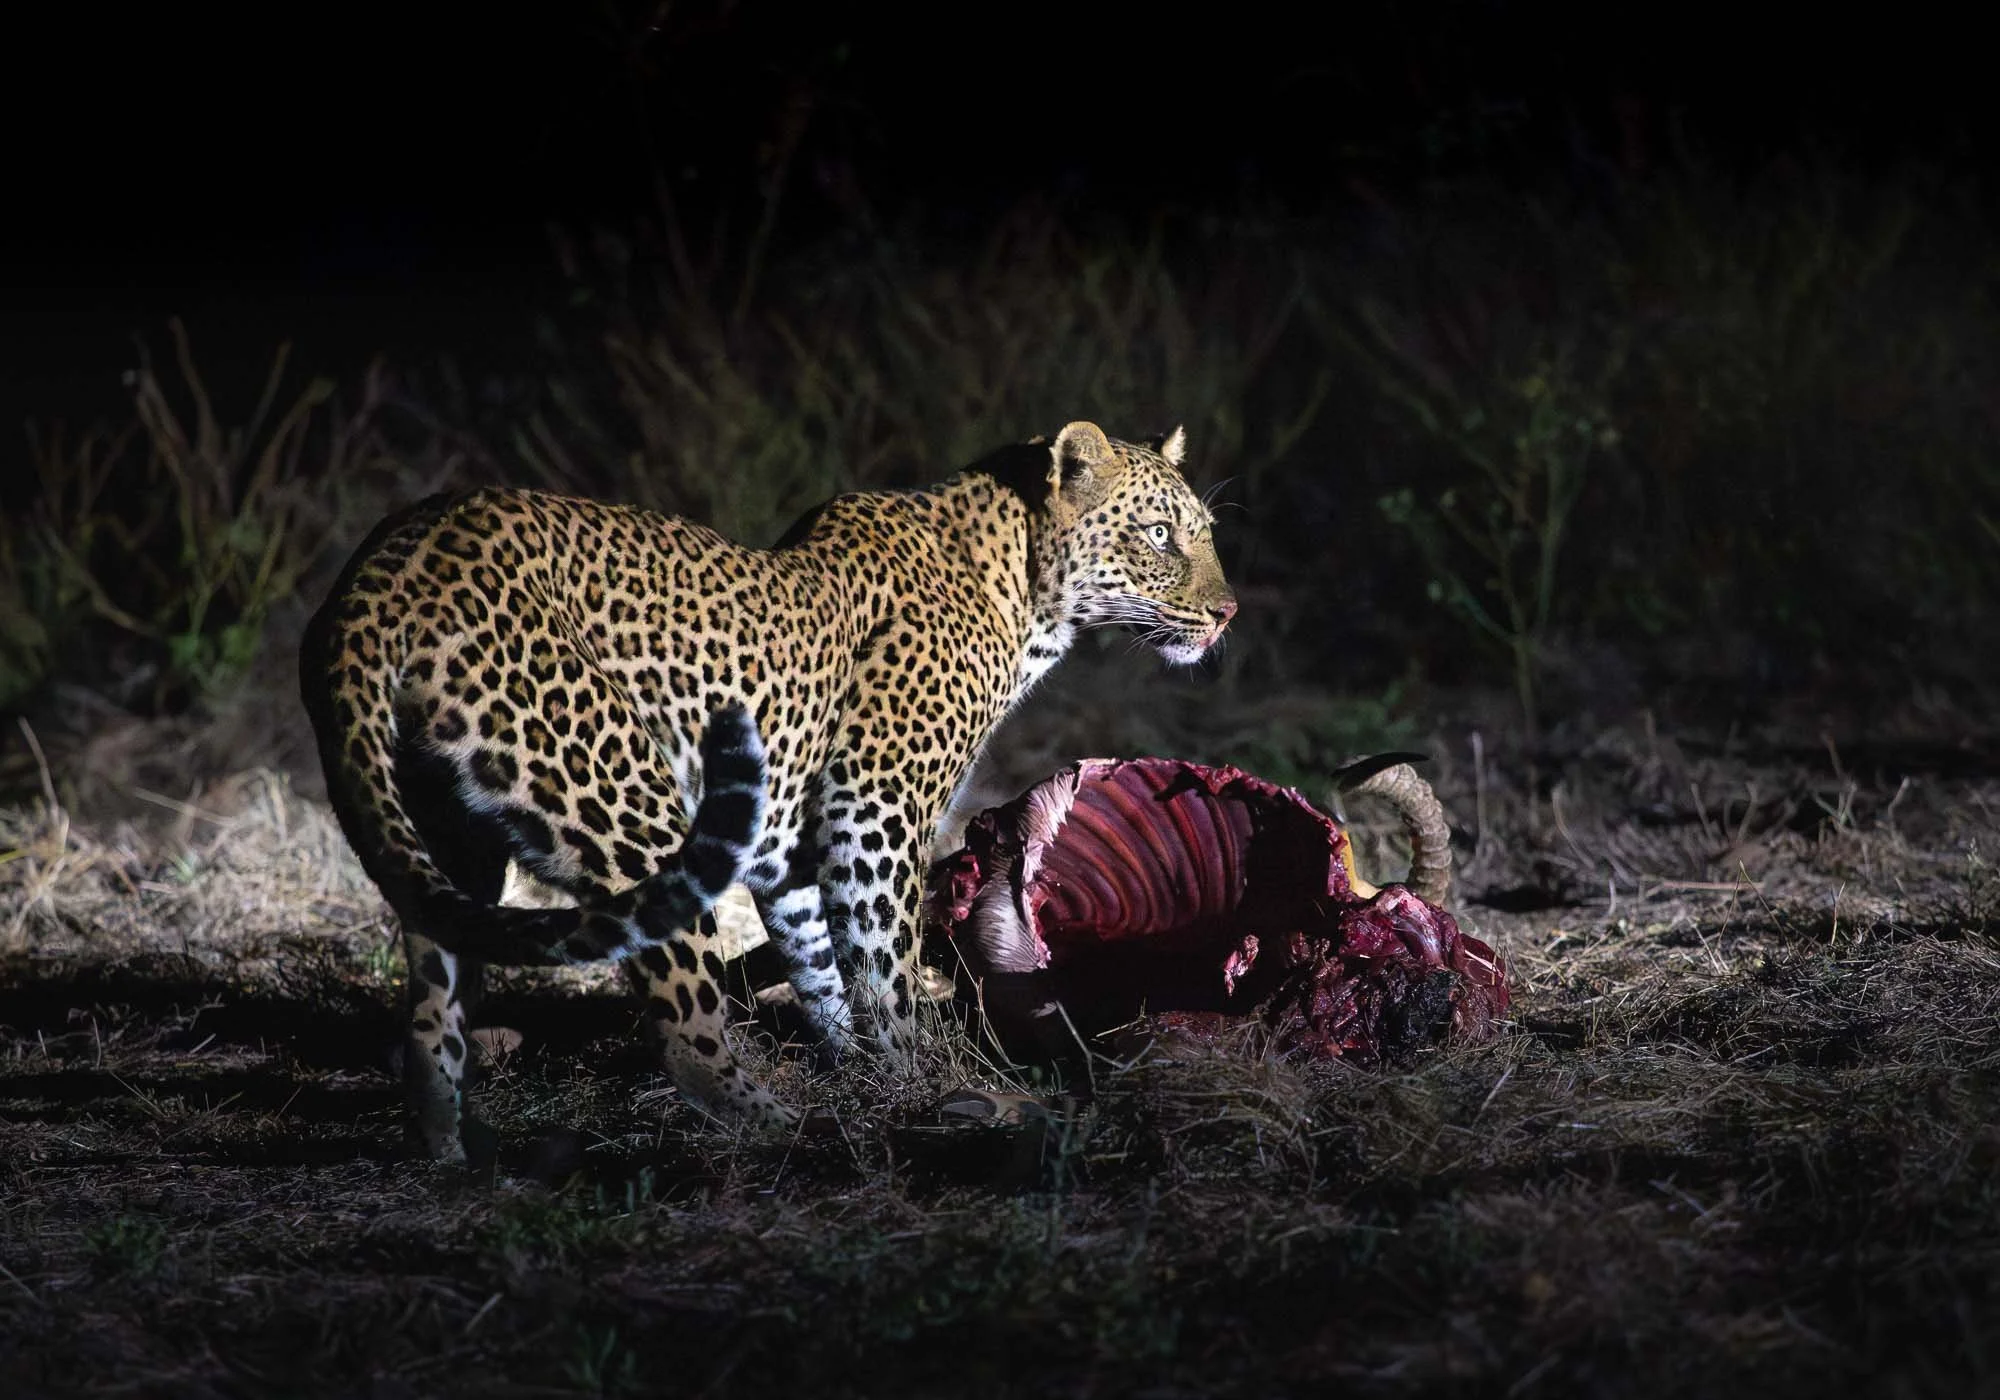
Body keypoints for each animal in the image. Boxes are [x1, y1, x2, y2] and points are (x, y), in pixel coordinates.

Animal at [301, 420, 1236, 1159]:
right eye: (1159, 534)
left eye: (1202, 532)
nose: (1228, 612)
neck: (1023, 589)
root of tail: (379, 570)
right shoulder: (878, 805)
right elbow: (887, 962)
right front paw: (936, 1081)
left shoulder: (795, 848)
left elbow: (825, 960)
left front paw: (870, 1076)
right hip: (630, 803)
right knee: (684, 1028)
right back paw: (784, 1125)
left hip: (445, 834)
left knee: (433, 1001)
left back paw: (453, 1152)